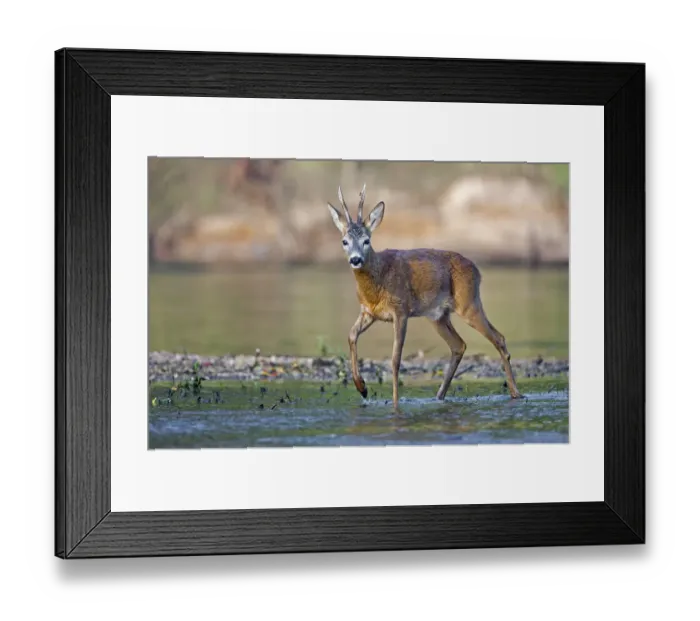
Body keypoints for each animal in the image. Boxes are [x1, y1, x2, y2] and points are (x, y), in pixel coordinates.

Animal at [327, 184, 524, 412]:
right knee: (459, 345)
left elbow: (395, 359)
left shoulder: (401, 310)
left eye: (367, 240)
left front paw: (395, 405)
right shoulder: (369, 312)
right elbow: (351, 335)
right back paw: (439, 396)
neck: (378, 281)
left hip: (469, 303)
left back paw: (516, 393)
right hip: (438, 316)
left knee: (498, 338)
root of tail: (476, 269)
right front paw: (362, 388)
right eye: (345, 241)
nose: (356, 259)